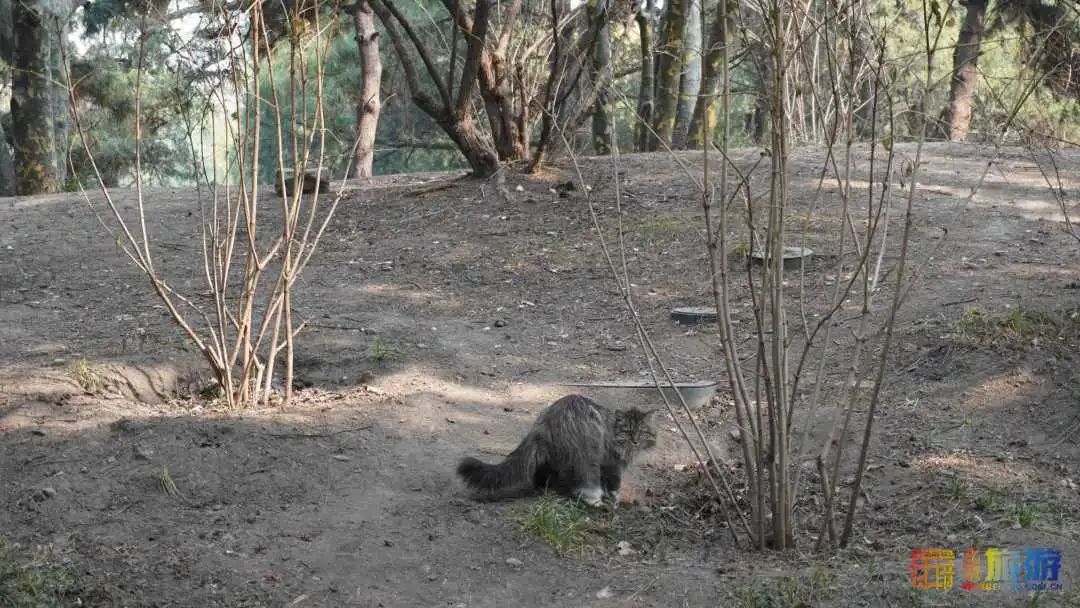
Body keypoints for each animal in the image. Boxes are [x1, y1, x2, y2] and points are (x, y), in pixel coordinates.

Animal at [455, 395, 656, 505]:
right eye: (628, 431)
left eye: (642, 432)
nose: (635, 441)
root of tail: (548, 421)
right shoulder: (612, 461)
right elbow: (615, 483)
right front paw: (614, 499)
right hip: (587, 450)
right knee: (586, 477)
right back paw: (593, 499)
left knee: (540, 472)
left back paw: (544, 487)